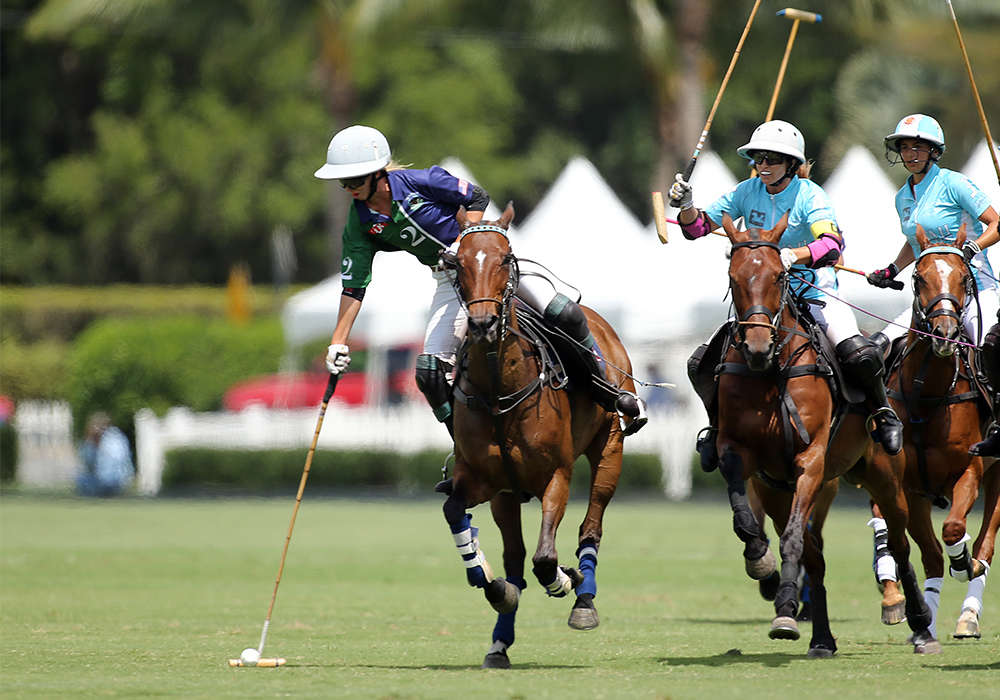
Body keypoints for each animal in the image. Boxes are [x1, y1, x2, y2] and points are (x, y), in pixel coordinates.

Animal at [442, 201, 636, 668]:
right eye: (458, 261)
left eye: (505, 259)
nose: (482, 324)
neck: (500, 392)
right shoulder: (486, 482)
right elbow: (457, 514)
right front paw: (491, 584)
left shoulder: (557, 475)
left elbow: (547, 557)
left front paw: (565, 580)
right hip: (506, 497)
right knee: (514, 557)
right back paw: (499, 641)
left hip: (610, 448)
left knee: (591, 527)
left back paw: (583, 599)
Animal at [720, 212, 936, 656]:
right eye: (734, 276)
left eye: (778, 276)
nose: (756, 348)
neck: (772, 372)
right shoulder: (741, 455)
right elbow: (746, 519)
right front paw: (761, 564)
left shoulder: (811, 459)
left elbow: (790, 540)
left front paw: (783, 602)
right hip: (784, 492)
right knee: (815, 557)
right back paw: (819, 636)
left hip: (884, 478)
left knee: (901, 545)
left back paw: (921, 624)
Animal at [872, 226, 996, 640]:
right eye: (919, 277)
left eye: (963, 278)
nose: (944, 334)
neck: (927, 393)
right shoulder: (911, 486)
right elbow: (930, 554)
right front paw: (921, 620)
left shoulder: (970, 470)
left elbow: (955, 529)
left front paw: (963, 561)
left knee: (988, 543)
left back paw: (969, 613)